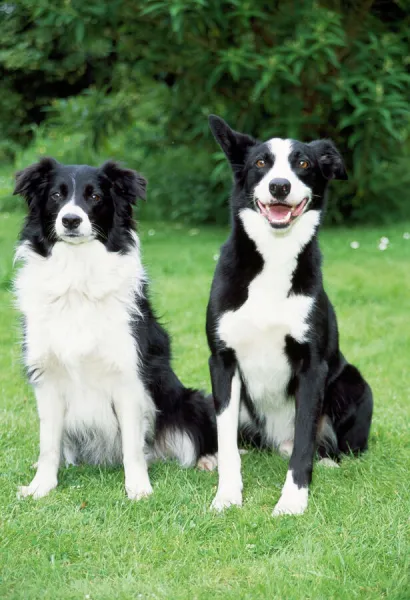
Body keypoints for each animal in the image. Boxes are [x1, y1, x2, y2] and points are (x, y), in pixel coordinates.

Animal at [207, 117, 374, 516]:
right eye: (260, 163)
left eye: (303, 163)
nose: (279, 186)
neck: (274, 256)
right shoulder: (222, 361)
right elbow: (226, 442)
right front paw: (228, 494)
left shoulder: (312, 366)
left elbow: (304, 443)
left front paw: (293, 500)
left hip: (355, 384)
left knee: (326, 444)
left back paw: (326, 460)